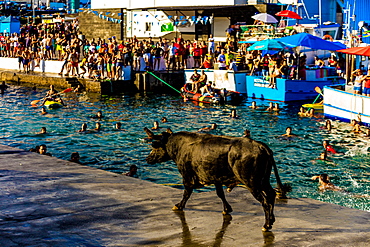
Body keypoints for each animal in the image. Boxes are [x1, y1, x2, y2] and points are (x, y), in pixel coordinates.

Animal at [146, 131, 290, 232]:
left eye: (155, 146)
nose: (148, 158)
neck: (179, 146)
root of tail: (262, 147)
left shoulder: (187, 176)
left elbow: (186, 193)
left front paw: (179, 205)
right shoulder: (216, 178)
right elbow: (220, 194)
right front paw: (227, 209)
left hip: (252, 183)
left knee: (265, 201)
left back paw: (266, 225)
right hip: (263, 180)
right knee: (271, 195)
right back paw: (271, 220)